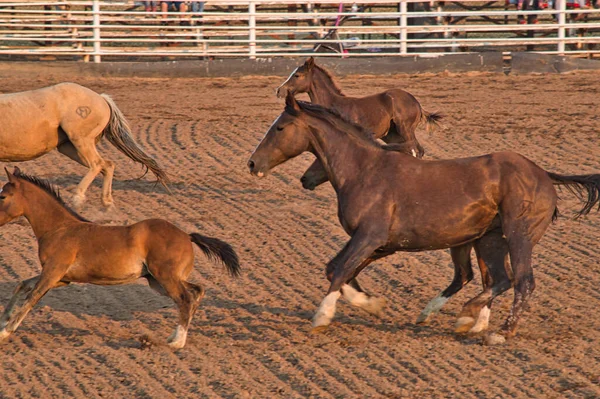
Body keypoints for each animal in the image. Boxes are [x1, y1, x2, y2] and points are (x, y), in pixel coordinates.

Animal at [0, 81, 169, 206]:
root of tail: (102, 98)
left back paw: (77, 198)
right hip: (69, 147)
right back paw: (107, 202)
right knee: (107, 165)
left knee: (97, 164)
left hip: (81, 140)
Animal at [0, 167, 239, 348]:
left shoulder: (52, 272)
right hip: (158, 281)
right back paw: (175, 335)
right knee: (196, 291)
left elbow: (32, 297)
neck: (59, 228)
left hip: (165, 278)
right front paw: (4, 320)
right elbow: (22, 285)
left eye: (2, 196)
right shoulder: (61, 278)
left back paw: (176, 342)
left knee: (185, 298)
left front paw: (5, 332)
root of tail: (186, 235)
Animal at [247, 93, 600, 344]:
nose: (252, 163)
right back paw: (463, 318)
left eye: (280, 127)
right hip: (488, 240)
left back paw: (498, 331)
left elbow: (341, 270)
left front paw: (323, 315)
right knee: (497, 279)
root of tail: (543, 174)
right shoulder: (375, 243)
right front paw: (370, 303)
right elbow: (336, 268)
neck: (365, 171)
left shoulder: (371, 238)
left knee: (521, 281)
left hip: (518, 236)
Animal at [276, 57, 440, 191]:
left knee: (415, 150)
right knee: (415, 150)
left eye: (297, 75)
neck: (335, 105)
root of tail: (417, 103)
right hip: (392, 135)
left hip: (405, 129)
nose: (279, 90)